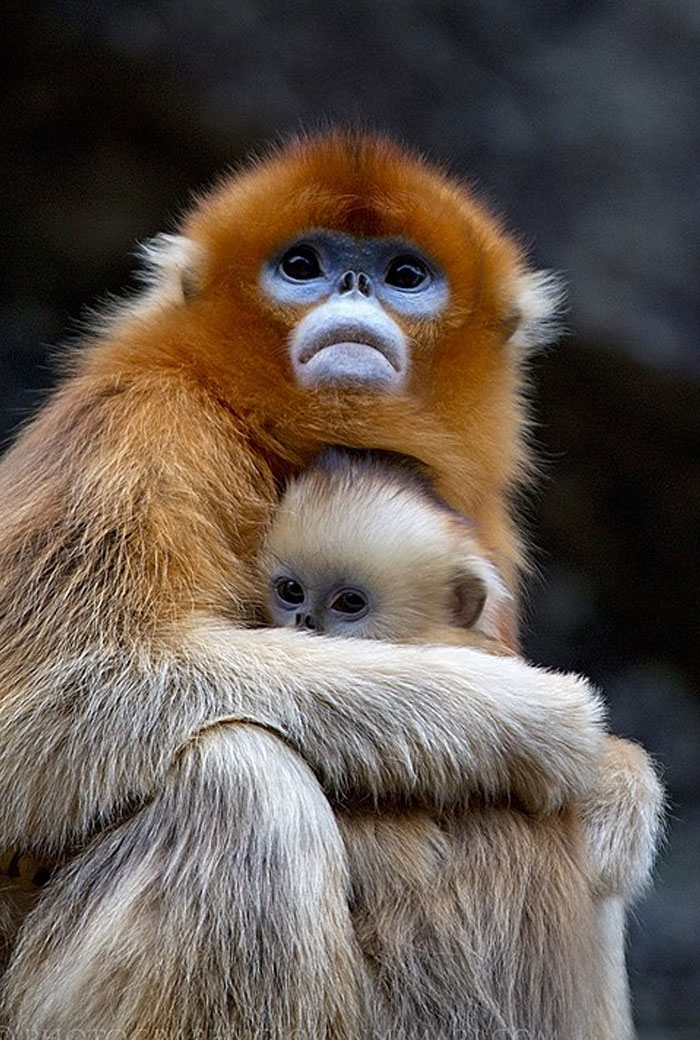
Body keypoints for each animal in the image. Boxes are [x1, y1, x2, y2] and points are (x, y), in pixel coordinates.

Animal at [0, 130, 649, 1039]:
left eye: (404, 274)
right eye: (302, 264)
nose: (351, 285)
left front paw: (623, 793)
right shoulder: (140, 427)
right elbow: (51, 706)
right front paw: (526, 717)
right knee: (241, 778)